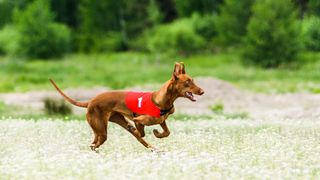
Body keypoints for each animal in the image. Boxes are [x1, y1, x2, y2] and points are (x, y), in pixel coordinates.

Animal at [50, 62, 205, 151]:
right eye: (187, 82)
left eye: (193, 80)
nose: (202, 91)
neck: (161, 100)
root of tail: (91, 101)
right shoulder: (139, 119)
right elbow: (140, 129)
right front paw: (146, 131)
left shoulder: (162, 120)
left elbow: (166, 132)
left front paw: (157, 134)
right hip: (102, 128)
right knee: (96, 143)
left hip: (110, 123)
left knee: (95, 142)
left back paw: (154, 149)